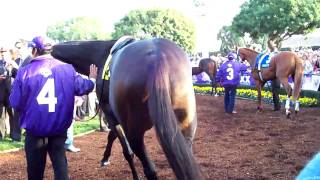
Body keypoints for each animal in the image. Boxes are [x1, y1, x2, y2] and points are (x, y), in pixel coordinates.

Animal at [51, 37, 204, 179]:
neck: (100, 55)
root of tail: (156, 59)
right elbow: (112, 136)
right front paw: (105, 158)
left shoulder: (111, 115)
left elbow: (126, 151)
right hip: (185, 129)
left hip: (134, 133)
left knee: (149, 169)